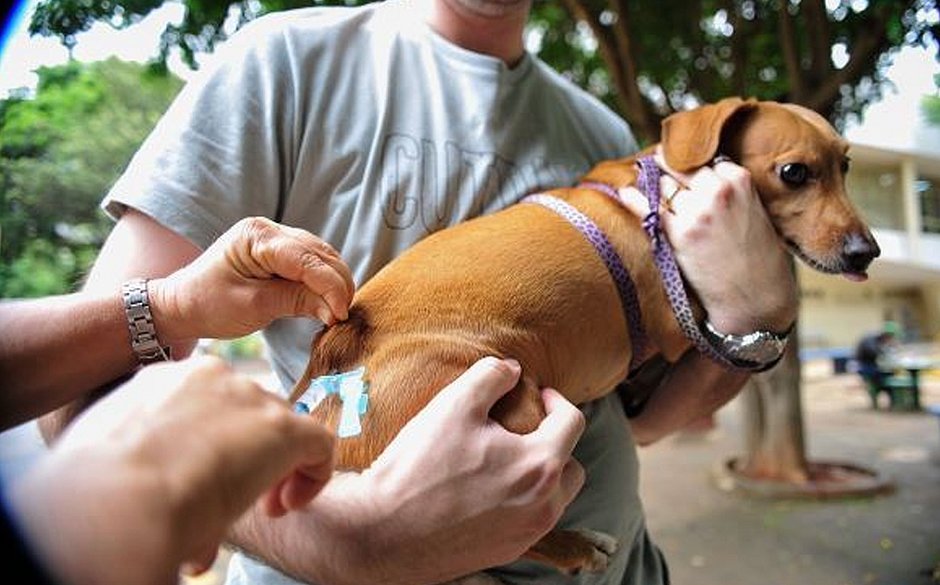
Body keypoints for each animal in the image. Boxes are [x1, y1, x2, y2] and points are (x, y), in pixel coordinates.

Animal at [288, 97, 880, 576]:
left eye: (846, 166)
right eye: (794, 172)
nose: (866, 253)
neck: (656, 190)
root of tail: (333, 360)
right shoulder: (678, 328)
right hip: (516, 407)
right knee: (496, 538)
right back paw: (576, 547)